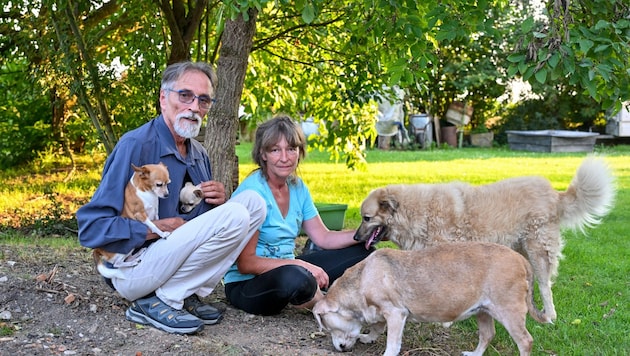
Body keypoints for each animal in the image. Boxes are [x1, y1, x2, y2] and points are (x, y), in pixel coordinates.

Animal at [314, 243, 552, 354]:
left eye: (329, 327)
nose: (339, 348)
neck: (362, 279)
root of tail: (521, 259)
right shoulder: (382, 313)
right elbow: (377, 327)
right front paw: (369, 336)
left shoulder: (396, 313)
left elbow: (392, 342)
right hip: (484, 311)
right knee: (487, 335)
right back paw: (474, 354)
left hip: (508, 312)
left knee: (525, 341)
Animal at [356, 157, 616, 322]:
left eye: (366, 218)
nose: (355, 238)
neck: (415, 213)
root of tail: (554, 194)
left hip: (538, 251)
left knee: (545, 285)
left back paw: (549, 315)